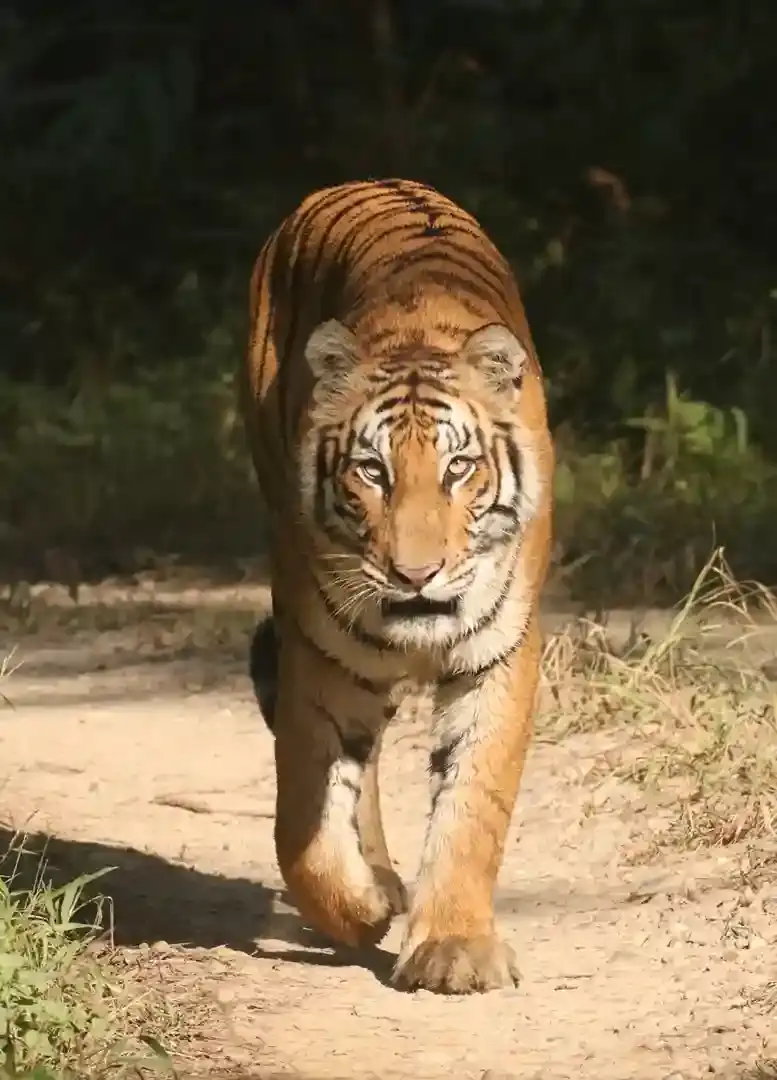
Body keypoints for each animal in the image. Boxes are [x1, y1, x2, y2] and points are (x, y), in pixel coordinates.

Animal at [240, 178, 554, 995]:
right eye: (372, 471)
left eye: (457, 468)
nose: (416, 574)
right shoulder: (320, 658)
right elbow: (303, 826)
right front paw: (362, 909)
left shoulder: (498, 655)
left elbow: (472, 805)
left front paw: (454, 948)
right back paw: (378, 880)